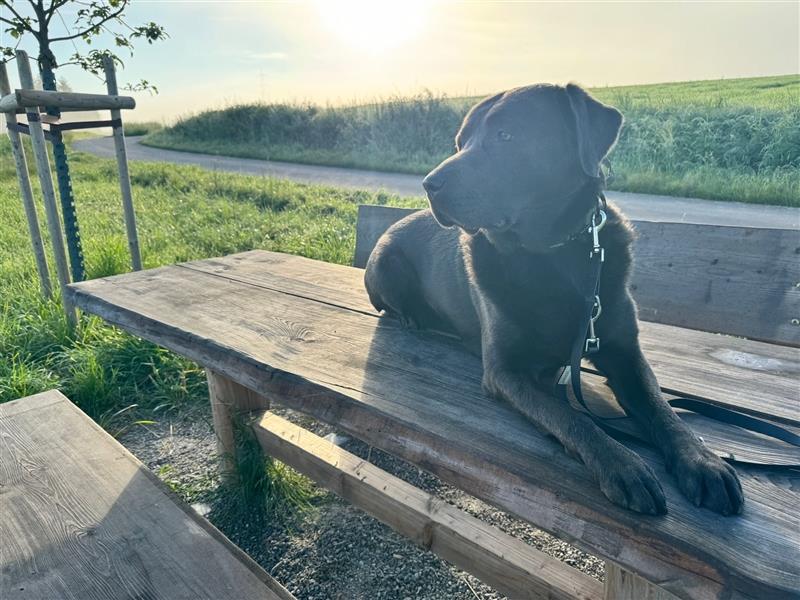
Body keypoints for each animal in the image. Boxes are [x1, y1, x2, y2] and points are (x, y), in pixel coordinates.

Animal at [366, 83, 748, 516]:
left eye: (506, 135)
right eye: (460, 143)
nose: (429, 184)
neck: (553, 252)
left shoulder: (623, 351)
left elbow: (661, 408)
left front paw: (702, 460)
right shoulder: (505, 372)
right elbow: (571, 418)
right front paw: (623, 464)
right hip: (386, 262)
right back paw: (415, 316)